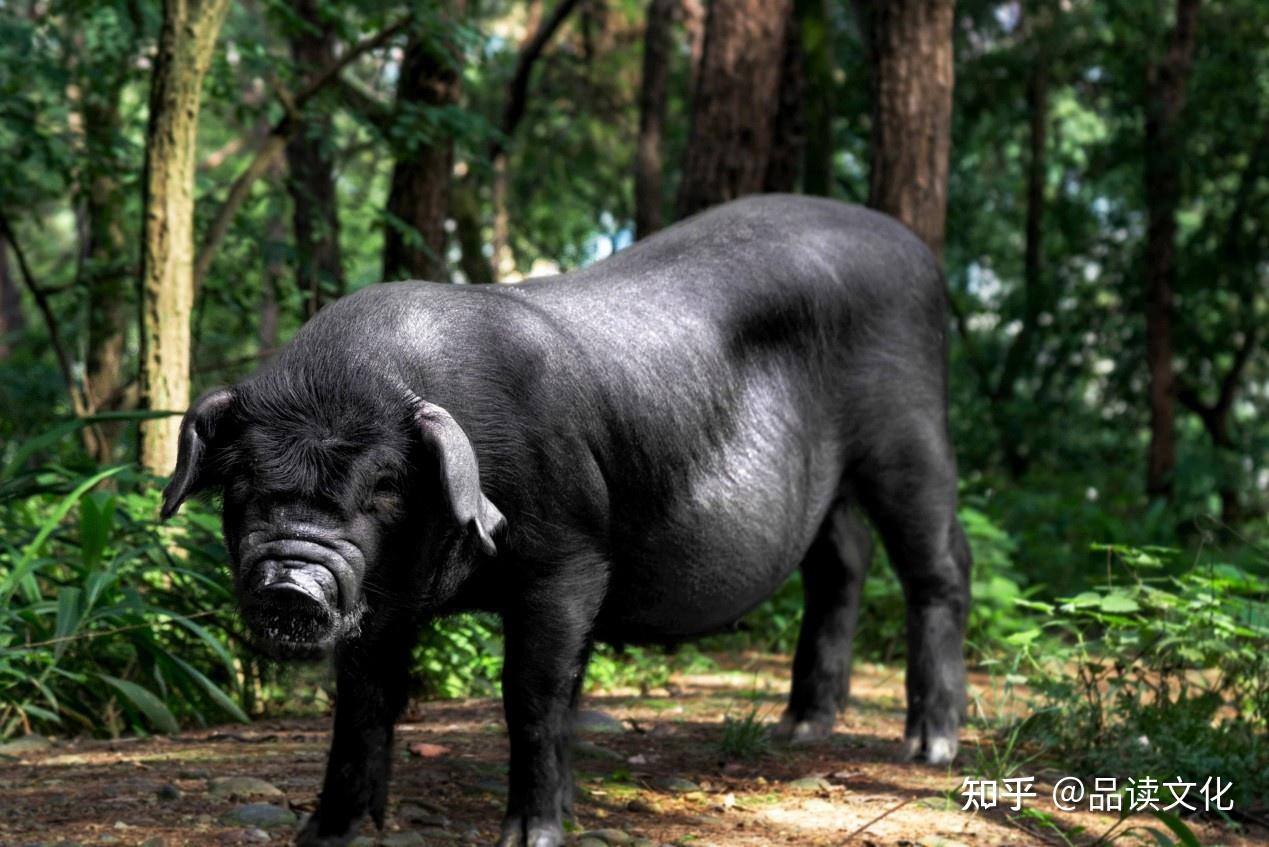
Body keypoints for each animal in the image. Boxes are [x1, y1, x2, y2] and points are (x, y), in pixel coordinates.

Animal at [161, 196, 969, 847]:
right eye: (242, 480)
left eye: (386, 485)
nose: (290, 580)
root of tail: (916, 252)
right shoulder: (380, 596)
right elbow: (365, 700)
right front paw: (328, 834)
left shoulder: (569, 557)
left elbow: (534, 693)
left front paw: (533, 836)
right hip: (828, 486)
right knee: (841, 562)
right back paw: (798, 728)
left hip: (908, 427)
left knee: (939, 563)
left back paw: (926, 749)